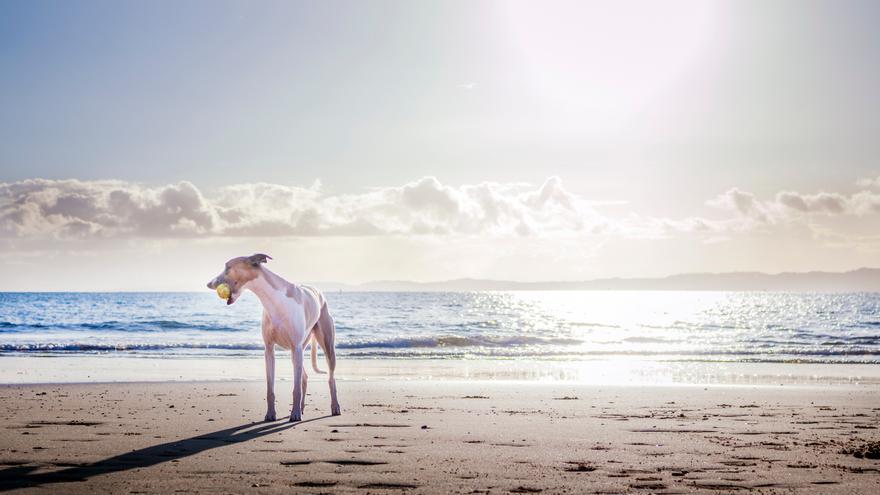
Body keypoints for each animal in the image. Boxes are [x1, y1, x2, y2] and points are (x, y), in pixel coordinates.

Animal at [207, 256, 340, 422]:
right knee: (304, 377)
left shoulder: (295, 346)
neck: (274, 300)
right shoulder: (269, 349)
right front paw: (271, 414)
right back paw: (302, 408)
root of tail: (318, 292)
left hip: (324, 346)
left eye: (228, 267)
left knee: (331, 378)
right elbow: (270, 388)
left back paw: (334, 407)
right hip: (297, 352)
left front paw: (294, 414)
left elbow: (295, 388)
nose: (208, 284)